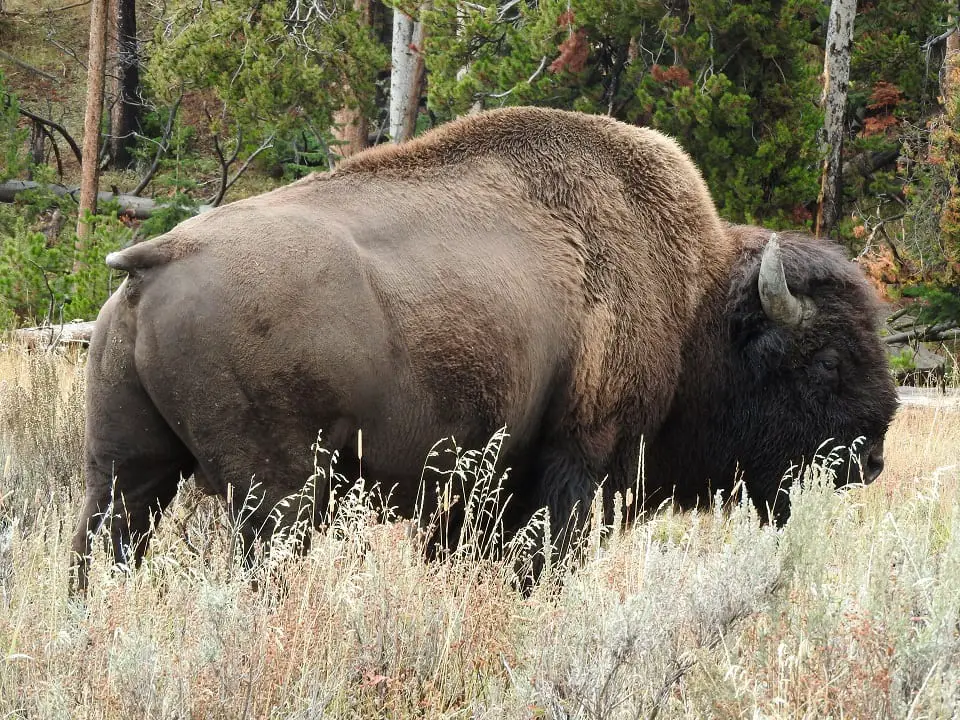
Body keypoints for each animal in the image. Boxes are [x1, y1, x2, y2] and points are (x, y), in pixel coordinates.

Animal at [69, 107, 900, 592]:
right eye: (826, 361)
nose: (871, 455)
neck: (693, 297)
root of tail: (159, 258)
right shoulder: (577, 463)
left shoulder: (479, 491)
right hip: (278, 495)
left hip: (126, 472)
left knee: (103, 545)